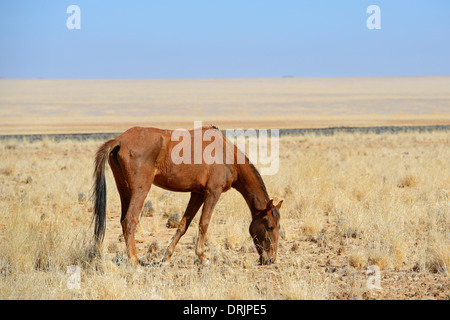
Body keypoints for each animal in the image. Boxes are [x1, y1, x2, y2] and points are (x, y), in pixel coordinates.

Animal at [91, 126, 282, 266]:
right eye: (270, 227)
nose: (271, 259)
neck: (226, 154)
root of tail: (119, 141)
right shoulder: (212, 192)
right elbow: (204, 224)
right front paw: (203, 258)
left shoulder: (197, 194)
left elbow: (183, 225)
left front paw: (166, 258)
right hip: (140, 190)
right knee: (130, 220)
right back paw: (135, 262)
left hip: (124, 189)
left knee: (123, 220)